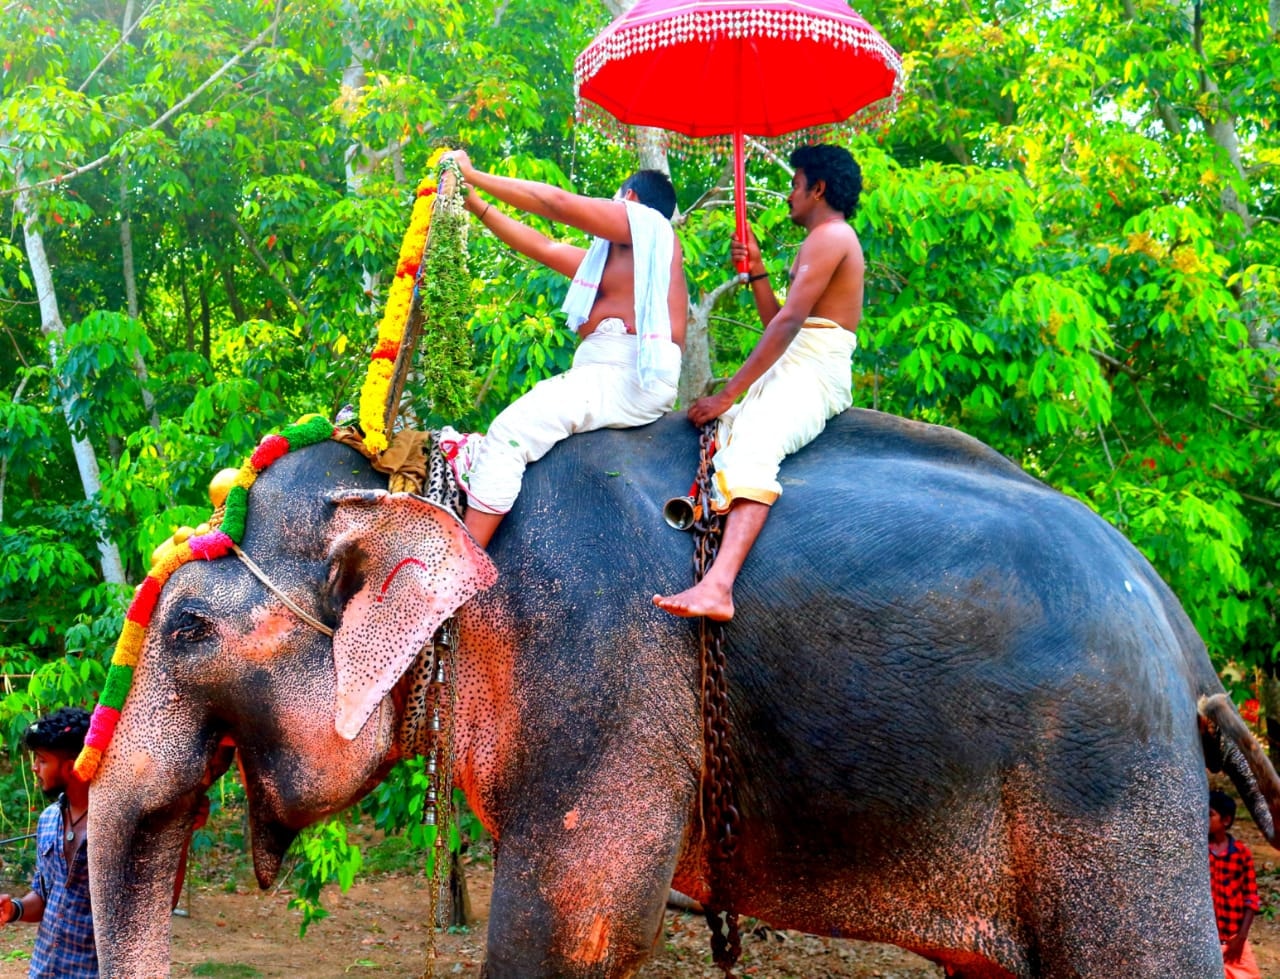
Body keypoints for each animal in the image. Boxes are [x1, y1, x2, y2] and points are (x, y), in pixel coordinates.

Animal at [90, 401, 1280, 972]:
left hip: (1106, 795)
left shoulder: (604, 676)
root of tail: (1189, 652)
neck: (434, 491)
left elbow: (580, 930)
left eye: (188, 629)